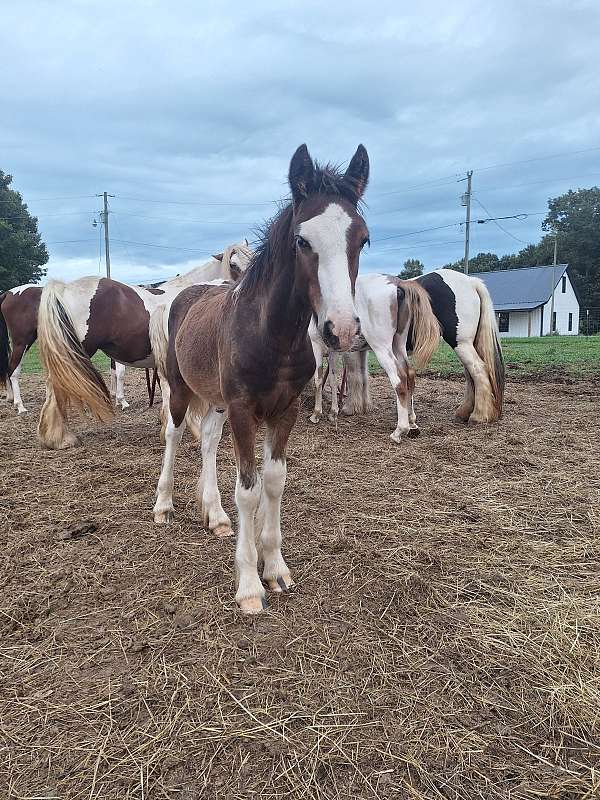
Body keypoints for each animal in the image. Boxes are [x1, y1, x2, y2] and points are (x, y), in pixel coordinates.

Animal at [154, 144, 370, 616]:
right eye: (302, 241)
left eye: (363, 239)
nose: (342, 329)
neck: (273, 335)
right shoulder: (242, 410)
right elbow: (249, 491)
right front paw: (250, 586)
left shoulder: (283, 411)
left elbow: (273, 481)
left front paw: (276, 569)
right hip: (180, 389)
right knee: (175, 435)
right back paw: (163, 505)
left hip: (216, 401)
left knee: (209, 440)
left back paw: (215, 516)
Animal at [310, 272, 440, 440]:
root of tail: (397, 283)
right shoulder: (333, 351)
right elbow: (333, 380)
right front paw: (333, 413)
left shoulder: (317, 346)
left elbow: (318, 380)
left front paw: (316, 414)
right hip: (398, 344)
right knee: (409, 374)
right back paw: (412, 423)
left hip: (382, 347)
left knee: (399, 380)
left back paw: (399, 430)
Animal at [342, 268, 506, 428]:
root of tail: (471, 281)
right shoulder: (361, 349)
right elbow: (362, 375)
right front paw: (363, 407)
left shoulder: (351, 350)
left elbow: (353, 375)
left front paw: (350, 408)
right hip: (466, 345)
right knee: (470, 375)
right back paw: (465, 412)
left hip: (461, 343)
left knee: (478, 371)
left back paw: (479, 416)